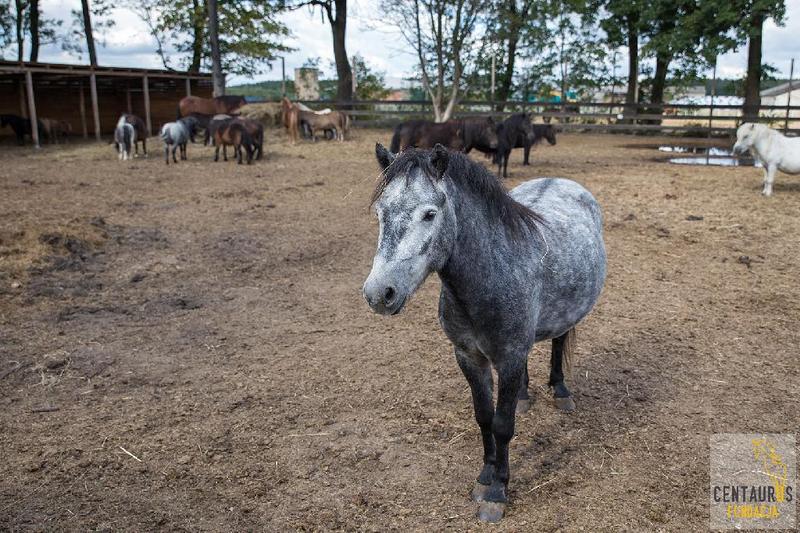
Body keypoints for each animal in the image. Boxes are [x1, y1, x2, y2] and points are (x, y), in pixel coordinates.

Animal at [364, 143, 608, 520]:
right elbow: (484, 417)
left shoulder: (507, 358)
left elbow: (503, 425)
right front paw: (484, 476)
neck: (493, 272)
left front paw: (497, 492)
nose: (379, 294)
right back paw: (524, 395)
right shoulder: (469, 356)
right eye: (380, 213)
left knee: (559, 340)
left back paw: (560, 391)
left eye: (429, 215)